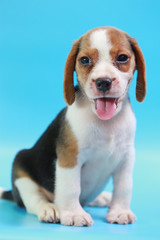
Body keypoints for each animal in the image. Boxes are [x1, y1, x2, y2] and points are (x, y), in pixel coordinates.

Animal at [0, 26, 146, 227]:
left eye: (122, 58)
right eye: (84, 60)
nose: (103, 82)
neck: (105, 123)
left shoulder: (126, 157)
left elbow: (124, 187)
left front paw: (120, 211)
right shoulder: (69, 157)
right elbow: (71, 188)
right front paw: (74, 214)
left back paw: (100, 198)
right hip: (22, 172)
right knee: (34, 200)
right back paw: (49, 209)